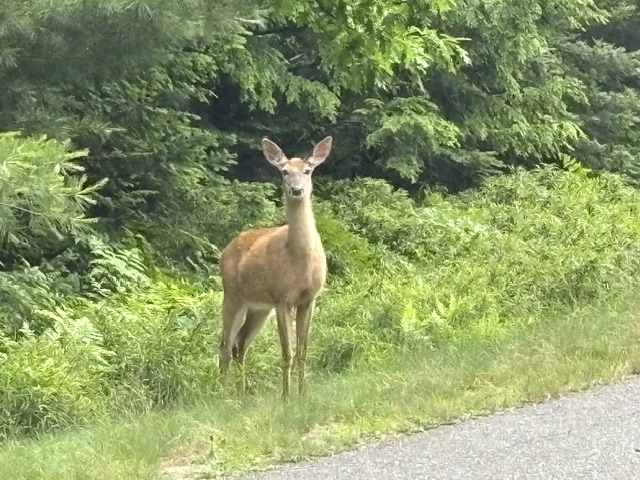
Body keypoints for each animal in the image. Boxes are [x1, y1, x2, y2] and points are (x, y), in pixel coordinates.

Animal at [218, 136, 332, 398]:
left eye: (307, 171)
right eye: (284, 171)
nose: (296, 189)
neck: (300, 261)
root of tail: (226, 249)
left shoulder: (309, 299)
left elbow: (302, 351)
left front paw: (302, 394)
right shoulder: (282, 299)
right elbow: (286, 352)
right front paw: (286, 396)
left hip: (259, 308)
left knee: (240, 344)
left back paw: (241, 396)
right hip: (232, 295)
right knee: (225, 346)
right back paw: (220, 395)